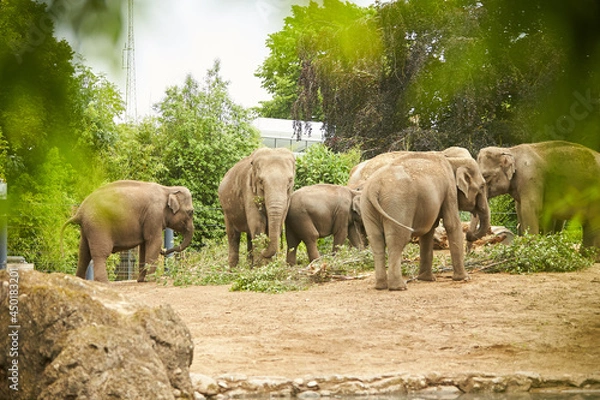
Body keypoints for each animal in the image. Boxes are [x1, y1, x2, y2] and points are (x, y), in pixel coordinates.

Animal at [60, 180, 195, 282]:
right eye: (190, 212)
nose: (164, 251)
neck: (168, 189)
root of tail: (79, 212)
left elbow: (144, 246)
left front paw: (141, 280)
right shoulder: (154, 214)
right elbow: (154, 241)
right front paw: (151, 279)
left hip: (87, 228)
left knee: (83, 253)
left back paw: (79, 280)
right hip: (98, 226)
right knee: (100, 254)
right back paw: (104, 282)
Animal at [358, 152, 486, 290]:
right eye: (483, 186)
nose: (469, 234)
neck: (453, 160)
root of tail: (374, 188)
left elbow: (428, 231)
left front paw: (427, 279)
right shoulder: (449, 189)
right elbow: (451, 224)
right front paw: (465, 278)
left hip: (367, 206)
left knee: (376, 241)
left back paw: (381, 286)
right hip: (397, 204)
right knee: (397, 240)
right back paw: (399, 287)